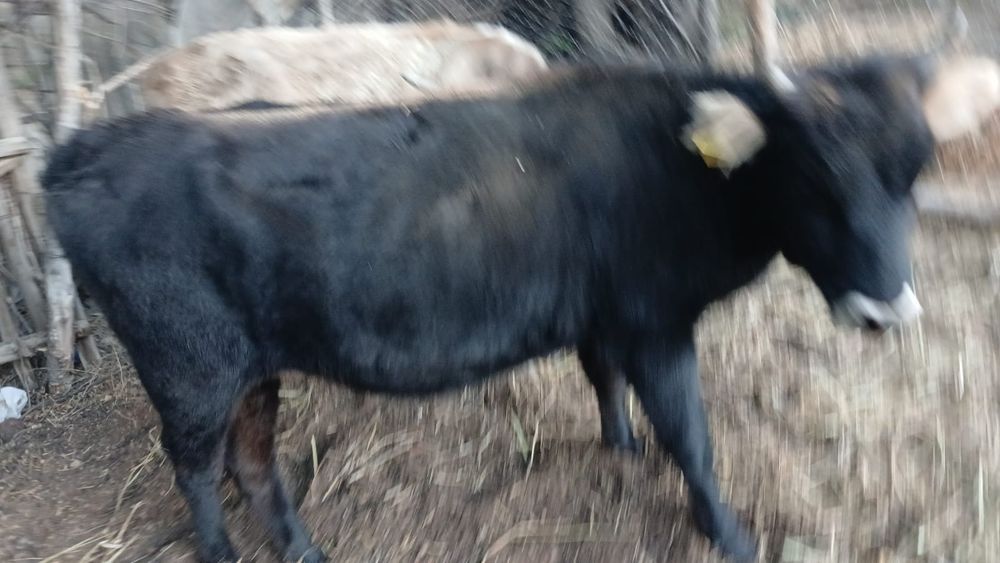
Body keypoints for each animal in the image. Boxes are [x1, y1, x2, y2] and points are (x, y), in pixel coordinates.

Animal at [42, 38, 1000, 563]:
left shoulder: (606, 315)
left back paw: (304, 547)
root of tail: (90, 147)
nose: (887, 312)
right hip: (188, 367)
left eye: (915, 172)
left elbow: (603, 379)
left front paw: (620, 447)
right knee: (196, 467)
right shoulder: (657, 321)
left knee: (253, 461)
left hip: (249, 367)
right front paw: (725, 530)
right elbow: (692, 432)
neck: (680, 165)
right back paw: (220, 549)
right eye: (814, 173)